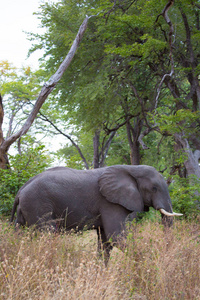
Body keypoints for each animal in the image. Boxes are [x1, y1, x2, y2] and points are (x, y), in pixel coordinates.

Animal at [10, 165, 182, 264]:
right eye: (154, 188)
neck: (132, 169)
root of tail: (21, 190)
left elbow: (106, 241)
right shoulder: (109, 202)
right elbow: (116, 236)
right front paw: (147, 263)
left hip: (26, 209)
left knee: (21, 235)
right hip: (38, 204)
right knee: (47, 236)